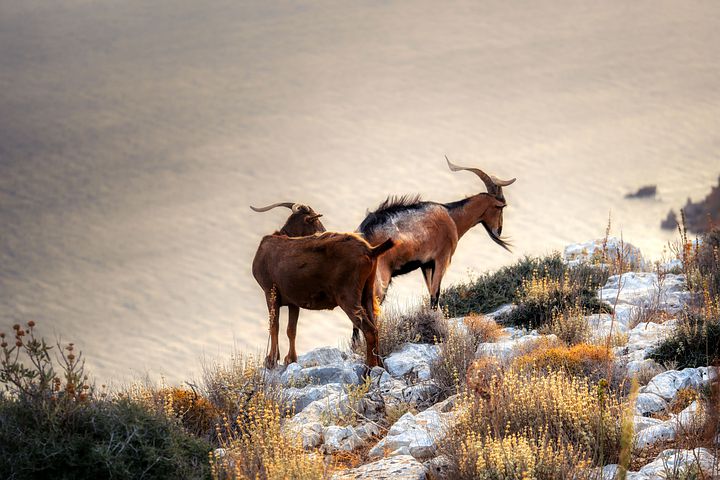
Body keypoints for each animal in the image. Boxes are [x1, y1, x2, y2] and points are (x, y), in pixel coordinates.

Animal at [252, 206, 394, 368]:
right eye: (316, 222)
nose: (324, 230)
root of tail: (371, 250)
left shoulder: (269, 291)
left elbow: (274, 326)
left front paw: (271, 360)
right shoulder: (293, 301)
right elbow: (291, 330)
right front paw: (290, 359)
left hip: (348, 295)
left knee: (369, 330)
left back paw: (369, 368)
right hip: (367, 292)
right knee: (375, 326)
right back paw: (379, 364)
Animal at [358, 158, 516, 320]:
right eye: (501, 207)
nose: (498, 231)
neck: (452, 216)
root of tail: (364, 233)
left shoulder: (426, 264)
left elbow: (431, 293)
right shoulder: (442, 259)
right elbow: (435, 295)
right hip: (380, 278)